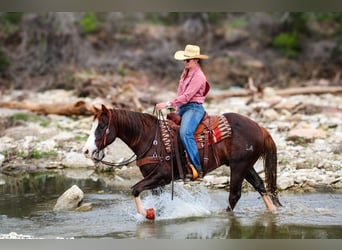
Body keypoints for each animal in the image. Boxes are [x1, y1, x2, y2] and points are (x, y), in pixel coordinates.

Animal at [82, 104, 280, 220]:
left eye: (102, 126)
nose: (86, 151)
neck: (150, 139)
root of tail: (259, 127)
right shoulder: (155, 181)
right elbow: (159, 202)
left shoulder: (162, 177)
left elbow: (135, 189)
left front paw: (147, 213)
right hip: (245, 165)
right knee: (260, 185)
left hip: (239, 167)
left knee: (234, 195)